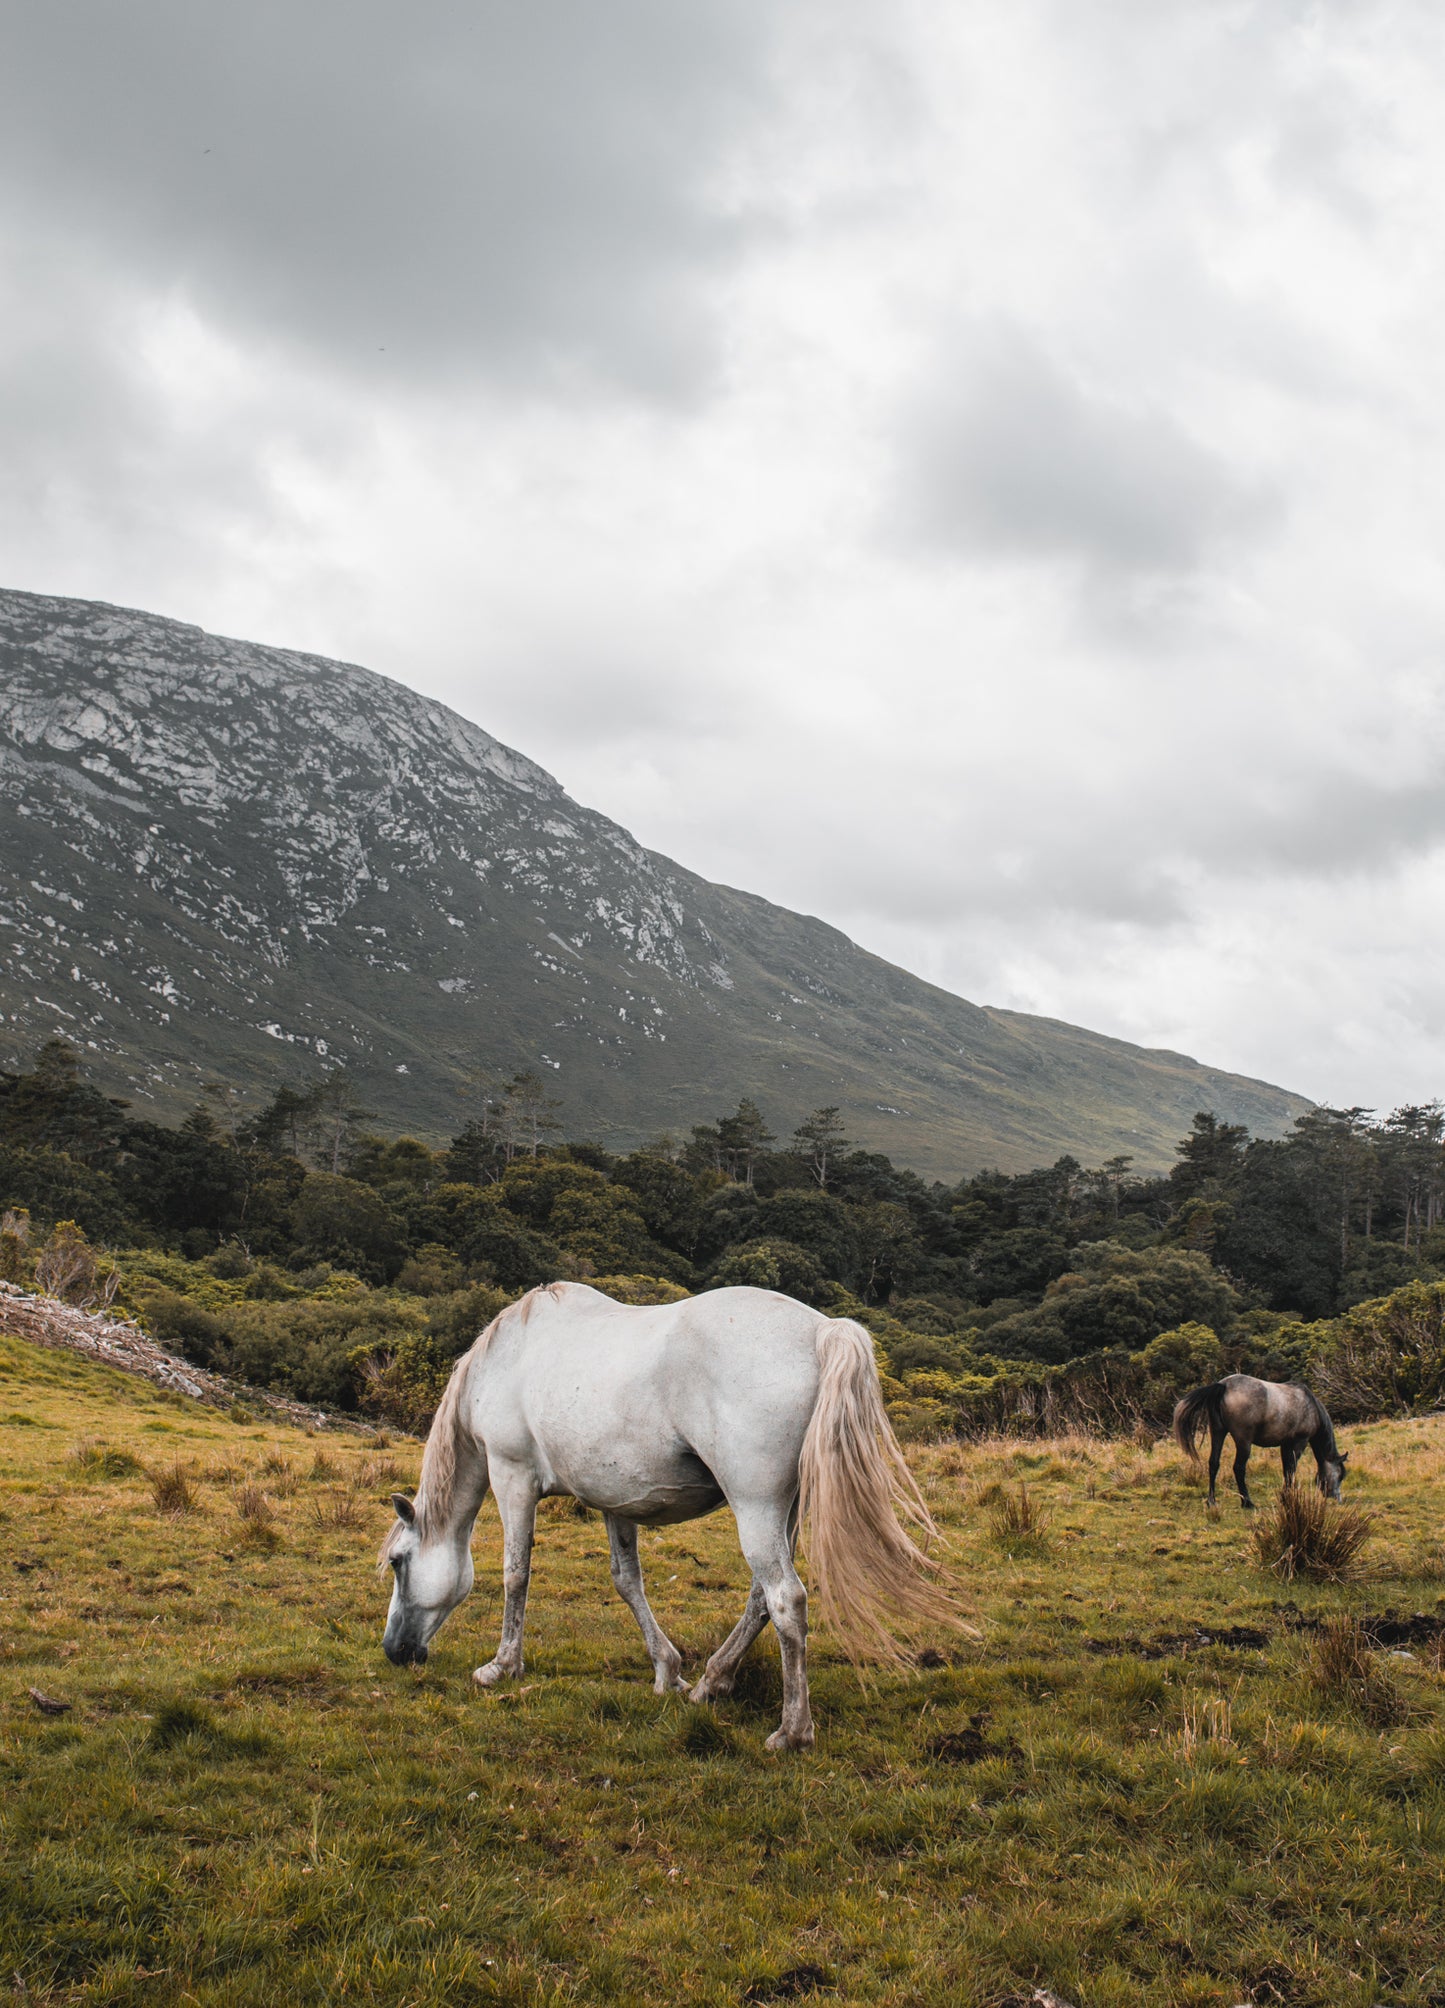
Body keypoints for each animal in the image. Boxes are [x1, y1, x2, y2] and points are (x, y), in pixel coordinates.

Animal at [379, 1281, 963, 1751]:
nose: (394, 1651)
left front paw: (502, 1666)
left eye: (398, 1562)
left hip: (755, 1505)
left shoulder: (512, 1477)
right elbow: (626, 1581)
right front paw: (668, 1671)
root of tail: (822, 1330)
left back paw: (791, 1732)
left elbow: (515, 1575)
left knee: (785, 1600)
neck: (509, 1358)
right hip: (784, 1511)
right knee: (761, 1598)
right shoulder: (615, 1500)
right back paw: (711, 1683)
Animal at [1173, 1373, 1347, 1509]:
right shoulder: (1299, 1443)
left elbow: (1286, 1469)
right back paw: (1247, 1502)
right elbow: (1291, 1469)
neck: (1311, 1408)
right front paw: (1288, 1496)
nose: (1337, 1499)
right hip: (1243, 1442)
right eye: (1340, 1476)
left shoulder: (1285, 1445)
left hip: (1218, 1432)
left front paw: (1286, 1495)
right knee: (1238, 1468)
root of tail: (1223, 1385)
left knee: (1213, 1463)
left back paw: (1212, 1501)